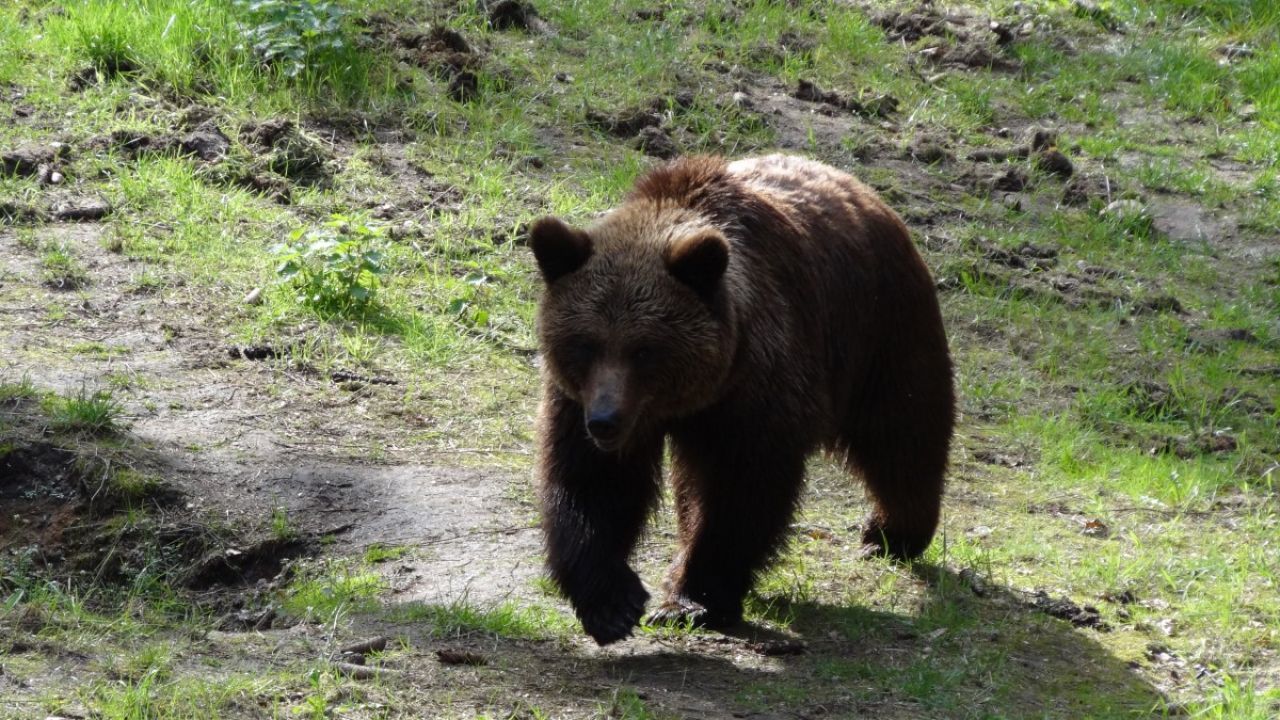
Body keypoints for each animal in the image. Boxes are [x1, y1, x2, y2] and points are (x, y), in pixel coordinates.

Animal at [524, 154, 957, 640]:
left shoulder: (756, 389)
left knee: (902, 433)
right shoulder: (579, 399)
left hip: (882, 329)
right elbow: (593, 483)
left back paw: (891, 532)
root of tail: (855, 184)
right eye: (585, 344)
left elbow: (741, 491)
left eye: (644, 349)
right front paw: (612, 602)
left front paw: (693, 598)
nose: (605, 420)